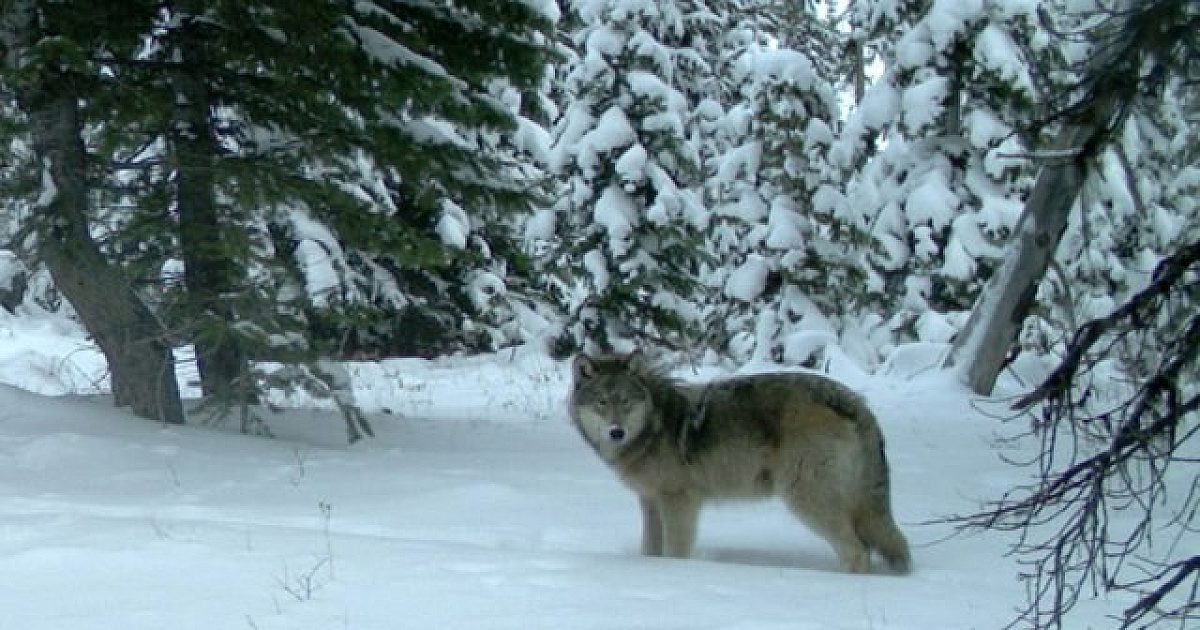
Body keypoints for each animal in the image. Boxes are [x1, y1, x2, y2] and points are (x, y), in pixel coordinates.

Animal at [568, 353, 911, 574]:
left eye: (625, 402)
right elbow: (650, 550)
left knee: (857, 552)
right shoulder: (650, 501)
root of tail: (855, 402)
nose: (616, 432)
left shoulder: (679, 501)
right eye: (601, 403)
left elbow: (676, 551)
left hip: (807, 500)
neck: (654, 426)